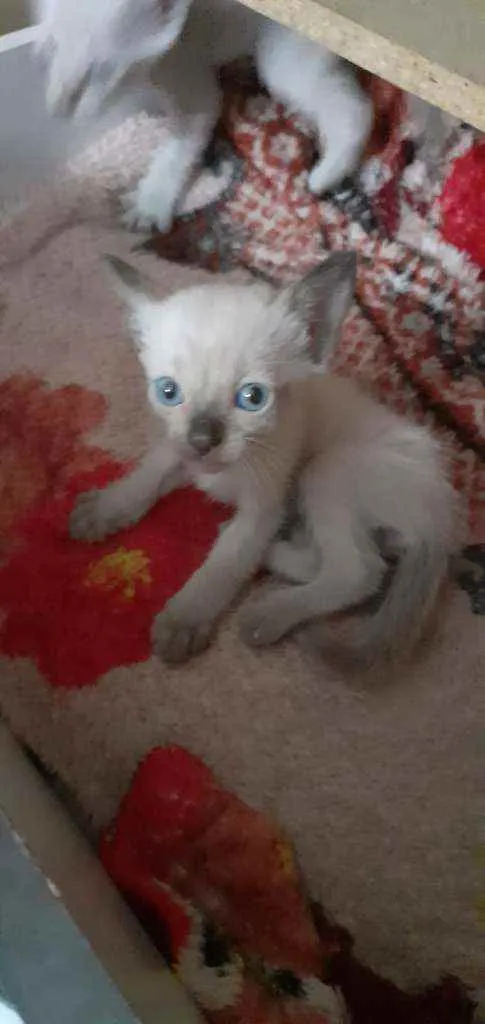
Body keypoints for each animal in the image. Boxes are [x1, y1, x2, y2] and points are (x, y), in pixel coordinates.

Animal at [34, 0, 373, 233]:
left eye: (97, 73)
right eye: (51, 48)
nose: (57, 109)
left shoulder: (188, 68)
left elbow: (185, 138)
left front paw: (150, 204)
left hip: (286, 50)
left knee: (354, 106)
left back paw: (328, 171)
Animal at [70, 251, 460, 666]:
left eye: (253, 398)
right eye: (168, 391)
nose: (203, 439)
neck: (224, 471)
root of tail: (445, 521)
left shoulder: (264, 507)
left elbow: (225, 563)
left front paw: (184, 617)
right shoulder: (182, 451)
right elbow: (151, 472)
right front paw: (104, 509)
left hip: (324, 471)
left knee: (358, 572)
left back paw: (269, 611)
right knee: (331, 561)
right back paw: (273, 553)